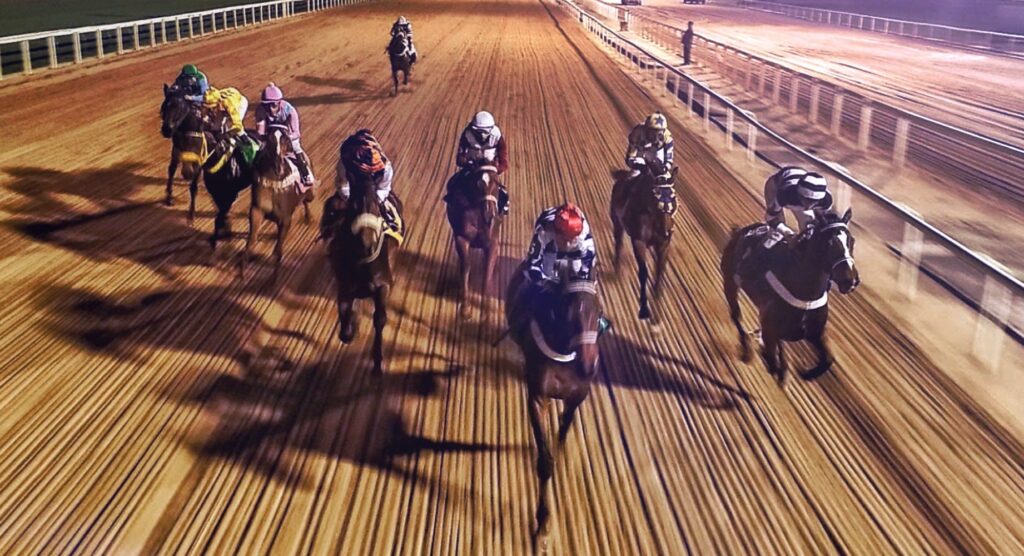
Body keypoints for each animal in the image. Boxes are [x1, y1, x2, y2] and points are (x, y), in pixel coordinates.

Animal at [245, 126, 313, 282]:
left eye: (286, 140)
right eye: (269, 140)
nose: (278, 167)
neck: (274, 184)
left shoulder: (285, 219)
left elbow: (277, 251)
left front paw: (273, 277)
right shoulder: (257, 210)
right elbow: (251, 242)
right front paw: (242, 270)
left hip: (309, 194)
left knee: (306, 202)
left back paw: (309, 218)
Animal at [446, 165, 501, 317]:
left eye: (497, 182)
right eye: (477, 184)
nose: (489, 213)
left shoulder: (492, 244)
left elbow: (487, 271)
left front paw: (486, 310)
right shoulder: (461, 239)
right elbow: (466, 266)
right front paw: (465, 308)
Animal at [503, 266, 598, 552]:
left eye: (598, 309)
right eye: (570, 310)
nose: (588, 365)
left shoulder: (576, 397)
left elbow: (562, 434)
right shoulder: (537, 396)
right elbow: (545, 461)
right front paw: (543, 527)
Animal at [606, 167, 679, 319]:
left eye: (673, 197)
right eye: (656, 196)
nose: (667, 231)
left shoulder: (663, 245)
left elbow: (659, 273)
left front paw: (657, 309)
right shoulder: (638, 242)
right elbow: (644, 272)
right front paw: (644, 308)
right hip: (617, 223)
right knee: (618, 244)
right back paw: (617, 270)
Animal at [724, 206, 860, 385]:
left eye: (852, 241)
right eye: (830, 243)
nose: (850, 281)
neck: (806, 294)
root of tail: (738, 231)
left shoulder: (814, 332)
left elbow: (828, 359)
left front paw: (805, 373)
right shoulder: (770, 326)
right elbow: (771, 361)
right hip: (729, 283)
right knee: (736, 316)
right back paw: (747, 350)